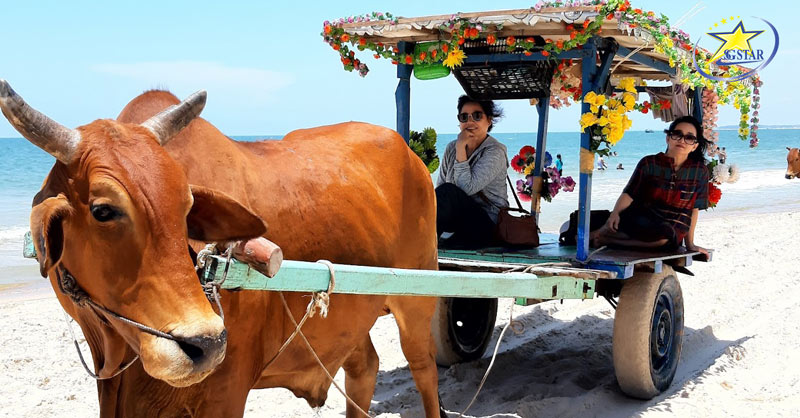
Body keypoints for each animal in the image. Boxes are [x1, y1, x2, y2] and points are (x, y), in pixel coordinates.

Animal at [1, 81, 438, 418]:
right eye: (102, 210)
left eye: (187, 205)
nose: (206, 345)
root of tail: (412, 156)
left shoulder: (226, 391)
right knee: (365, 367)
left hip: (417, 300)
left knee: (424, 368)